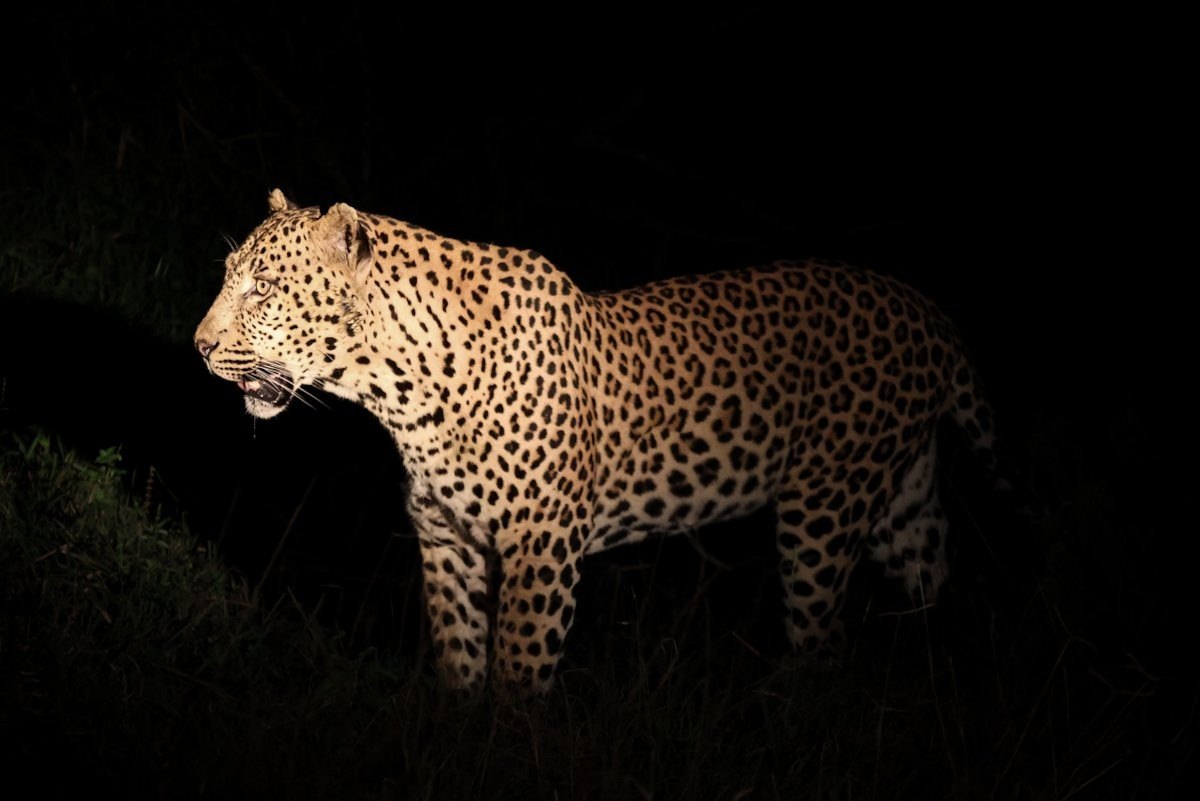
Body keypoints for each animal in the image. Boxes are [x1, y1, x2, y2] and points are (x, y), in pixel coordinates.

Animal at [194, 189, 1000, 694]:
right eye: (232, 277)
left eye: (263, 288)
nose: (199, 347)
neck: (399, 388)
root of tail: (930, 312)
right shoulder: (447, 542)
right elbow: (461, 665)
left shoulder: (541, 546)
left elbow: (519, 675)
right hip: (897, 499)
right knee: (934, 573)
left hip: (823, 512)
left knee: (823, 645)